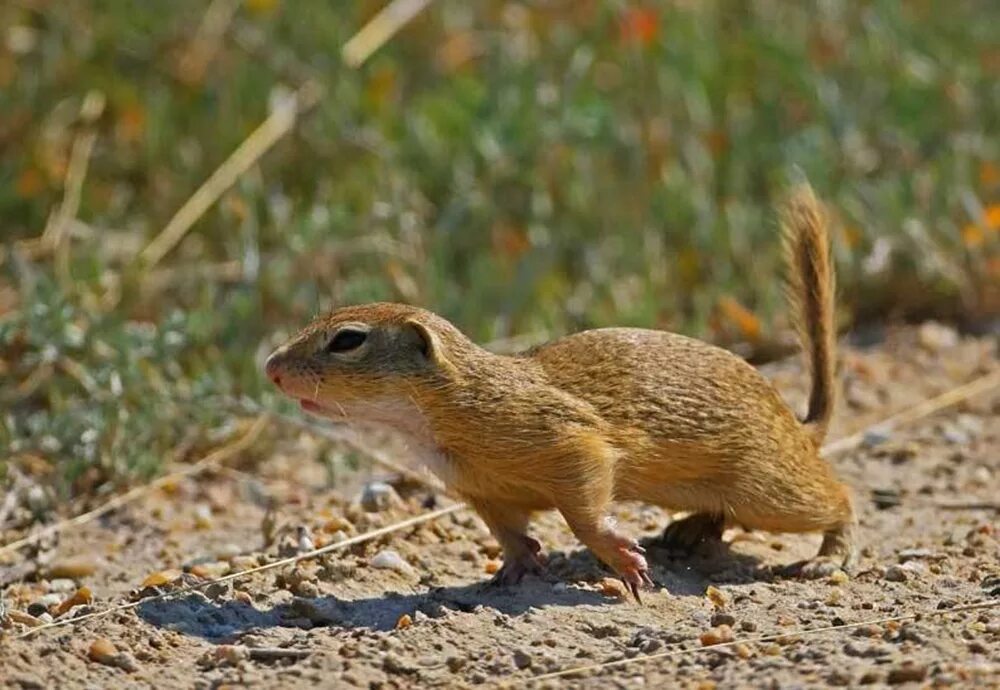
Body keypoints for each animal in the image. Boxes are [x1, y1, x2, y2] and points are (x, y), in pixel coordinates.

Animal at [268, 184, 860, 596]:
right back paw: (689, 531)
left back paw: (827, 556)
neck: (449, 410)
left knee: (839, 500)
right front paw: (514, 566)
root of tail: (797, 426)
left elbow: (583, 512)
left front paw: (622, 558)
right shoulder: (483, 492)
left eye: (347, 339)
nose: (271, 368)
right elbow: (506, 530)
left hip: (771, 491)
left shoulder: (571, 445)